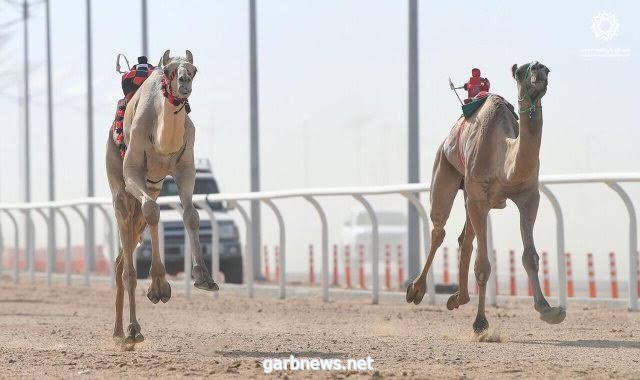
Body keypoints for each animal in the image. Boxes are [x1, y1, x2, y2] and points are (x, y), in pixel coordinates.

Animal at [106, 50, 219, 348]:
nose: (184, 81)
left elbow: (191, 214)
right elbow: (153, 210)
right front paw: (157, 286)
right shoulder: (133, 170)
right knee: (128, 263)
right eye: (169, 71)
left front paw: (204, 277)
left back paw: (119, 332)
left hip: (153, 185)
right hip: (119, 186)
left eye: (194, 69)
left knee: (128, 249)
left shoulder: (185, 167)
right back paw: (131, 331)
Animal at [404, 60, 564, 332]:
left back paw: (458, 298)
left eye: (547, 69)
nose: (539, 70)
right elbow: (483, 264)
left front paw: (548, 310)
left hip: (470, 193)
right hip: (445, 170)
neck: (504, 159)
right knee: (439, 229)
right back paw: (416, 290)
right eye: (521, 71)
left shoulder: (529, 197)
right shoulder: (479, 197)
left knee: (464, 238)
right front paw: (480, 322)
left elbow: (530, 256)